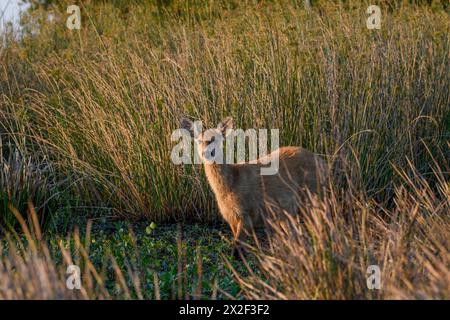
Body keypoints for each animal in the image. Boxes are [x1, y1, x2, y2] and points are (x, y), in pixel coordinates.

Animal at [180, 116, 326, 256]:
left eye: (216, 139)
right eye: (199, 141)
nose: (206, 153)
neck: (231, 186)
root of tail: (321, 161)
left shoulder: (247, 212)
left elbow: (237, 250)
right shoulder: (231, 217)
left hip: (312, 196)